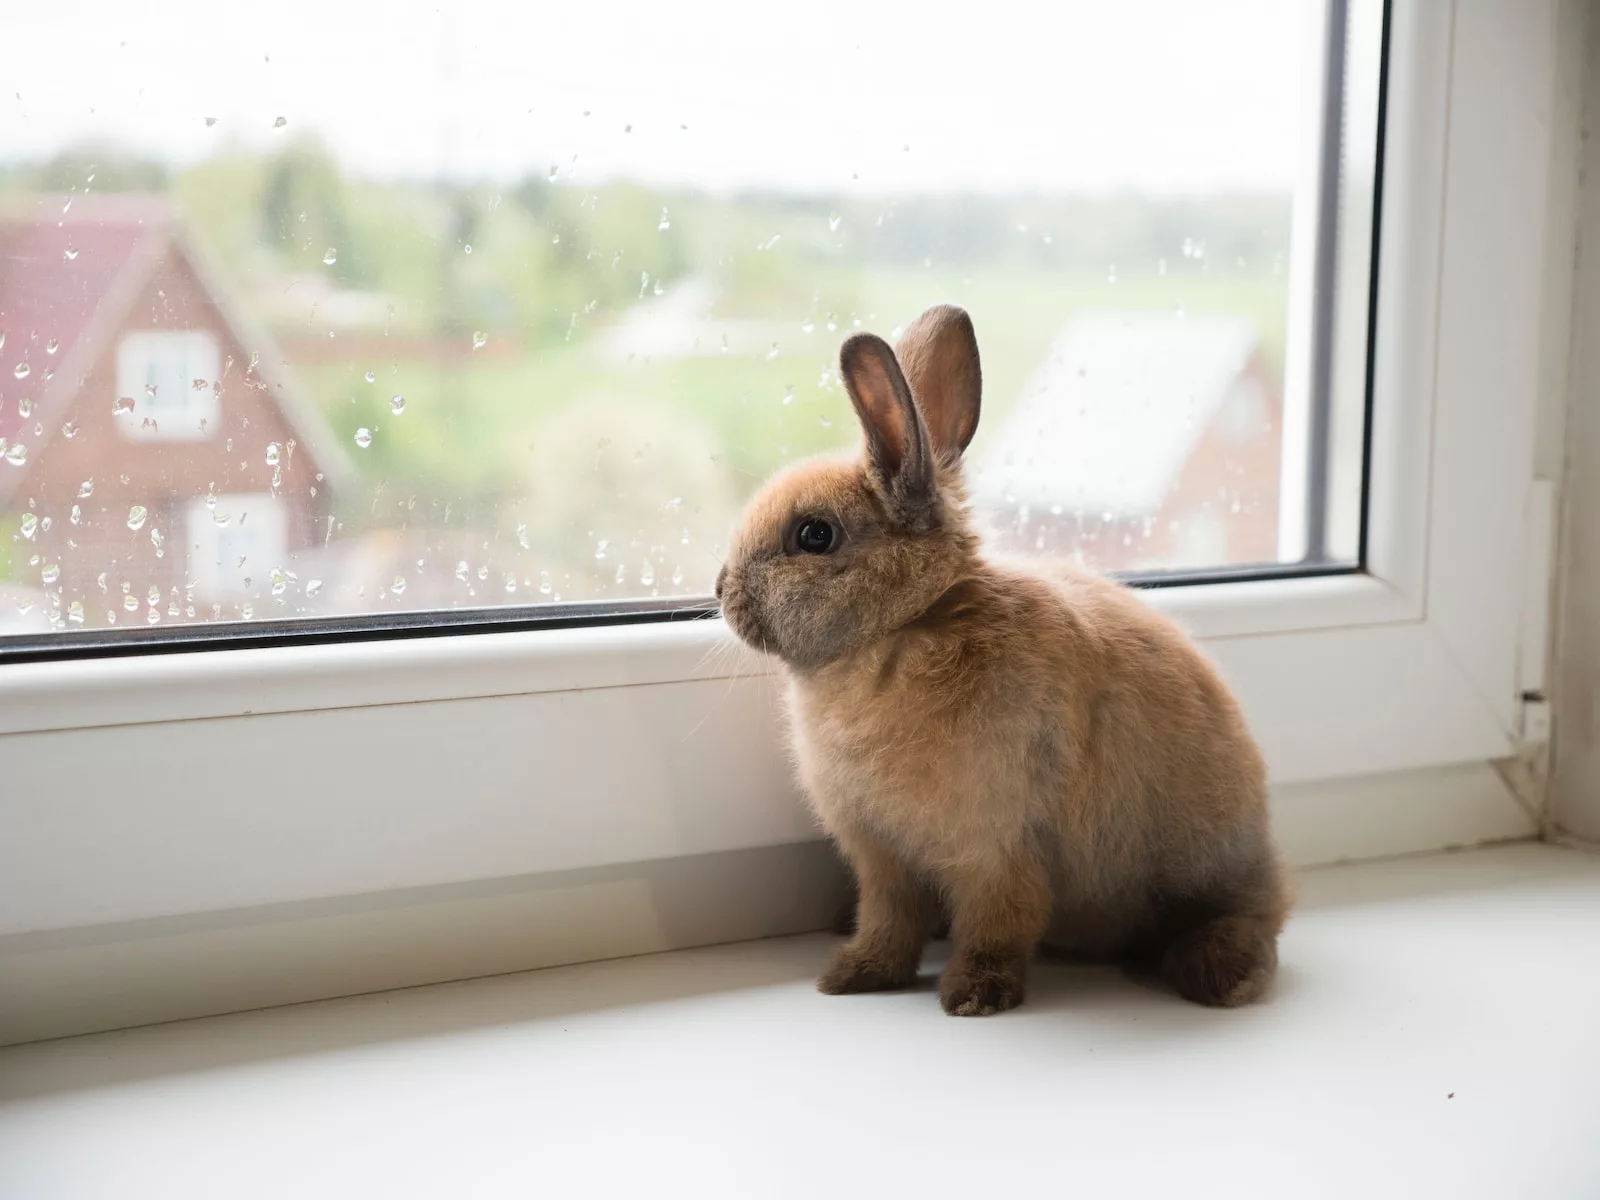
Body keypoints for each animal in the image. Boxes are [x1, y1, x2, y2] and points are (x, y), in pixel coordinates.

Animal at [720, 305, 1292, 1017]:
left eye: (814, 534)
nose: (721, 591)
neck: (906, 626)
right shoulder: (883, 859)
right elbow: (888, 921)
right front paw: (854, 975)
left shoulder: (994, 848)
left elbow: (1001, 920)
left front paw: (973, 995)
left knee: (1256, 917)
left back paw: (1219, 973)